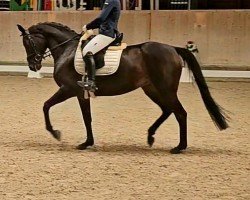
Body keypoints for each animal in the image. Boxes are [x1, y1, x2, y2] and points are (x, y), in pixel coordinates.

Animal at [17, 22, 229, 153]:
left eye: (28, 42)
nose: (33, 66)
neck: (67, 50)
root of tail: (172, 48)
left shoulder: (68, 89)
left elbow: (46, 105)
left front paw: (55, 133)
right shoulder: (80, 93)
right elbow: (87, 118)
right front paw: (87, 143)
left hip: (165, 89)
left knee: (180, 113)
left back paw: (179, 147)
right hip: (152, 89)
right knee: (168, 110)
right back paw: (150, 136)